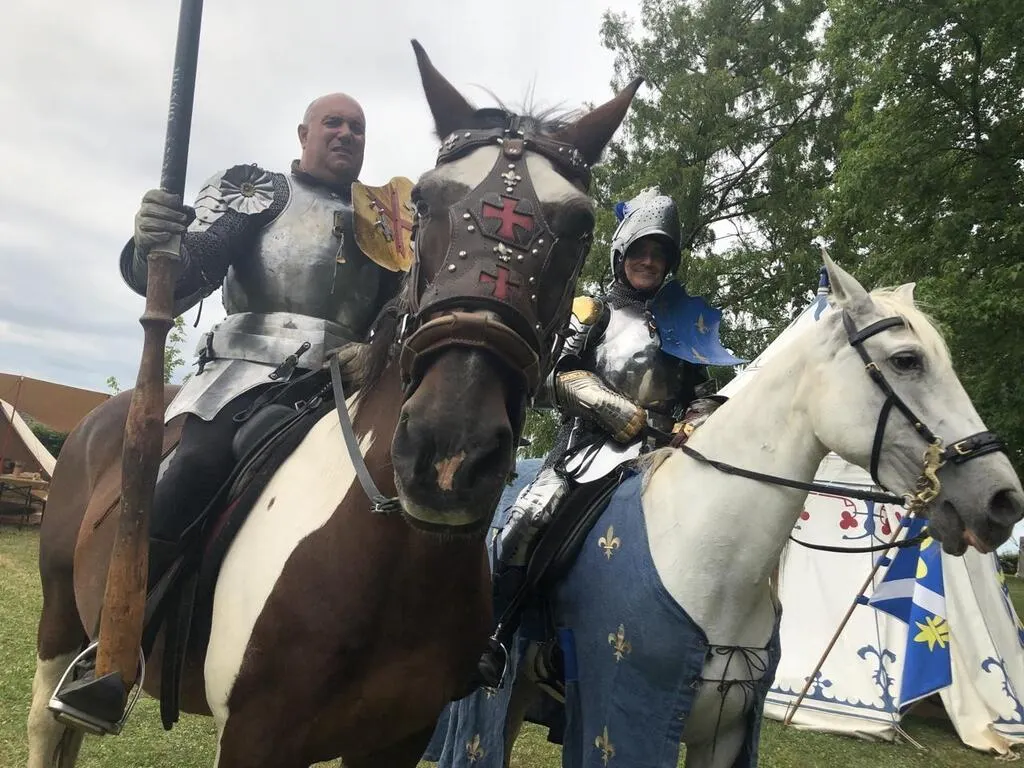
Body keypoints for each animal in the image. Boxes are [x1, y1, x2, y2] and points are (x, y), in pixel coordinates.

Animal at [26, 40, 642, 768]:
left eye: (579, 224)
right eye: (425, 203)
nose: (448, 454)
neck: (389, 555)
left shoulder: (398, 738)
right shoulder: (255, 738)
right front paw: (155, 230)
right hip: (60, 613)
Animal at [423, 253, 1024, 768]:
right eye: (906, 361)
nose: (1003, 500)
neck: (707, 558)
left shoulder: (726, 733)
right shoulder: (622, 723)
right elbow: (560, 373)